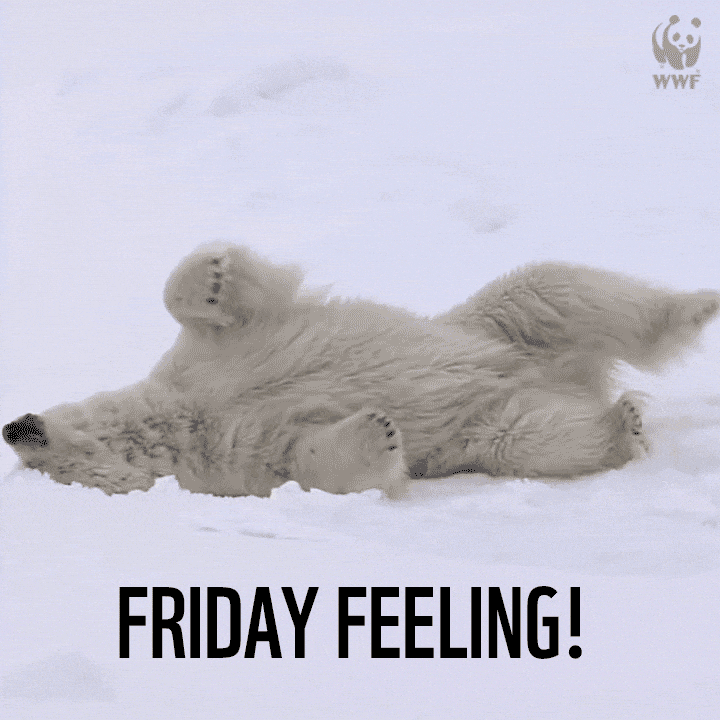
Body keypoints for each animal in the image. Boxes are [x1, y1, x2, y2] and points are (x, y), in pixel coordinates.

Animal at [3, 242, 719, 498]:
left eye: (38, 458)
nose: (16, 426)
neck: (180, 419)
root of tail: (567, 376)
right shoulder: (234, 460)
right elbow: (309, 457)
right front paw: (377, 428)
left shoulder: (207, 362)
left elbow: (213, 309)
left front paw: (213, 275)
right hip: (490, 420)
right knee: (528, 433)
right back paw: (621, 423)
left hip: (493, 323)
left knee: (559, 289)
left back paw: (696, 304)